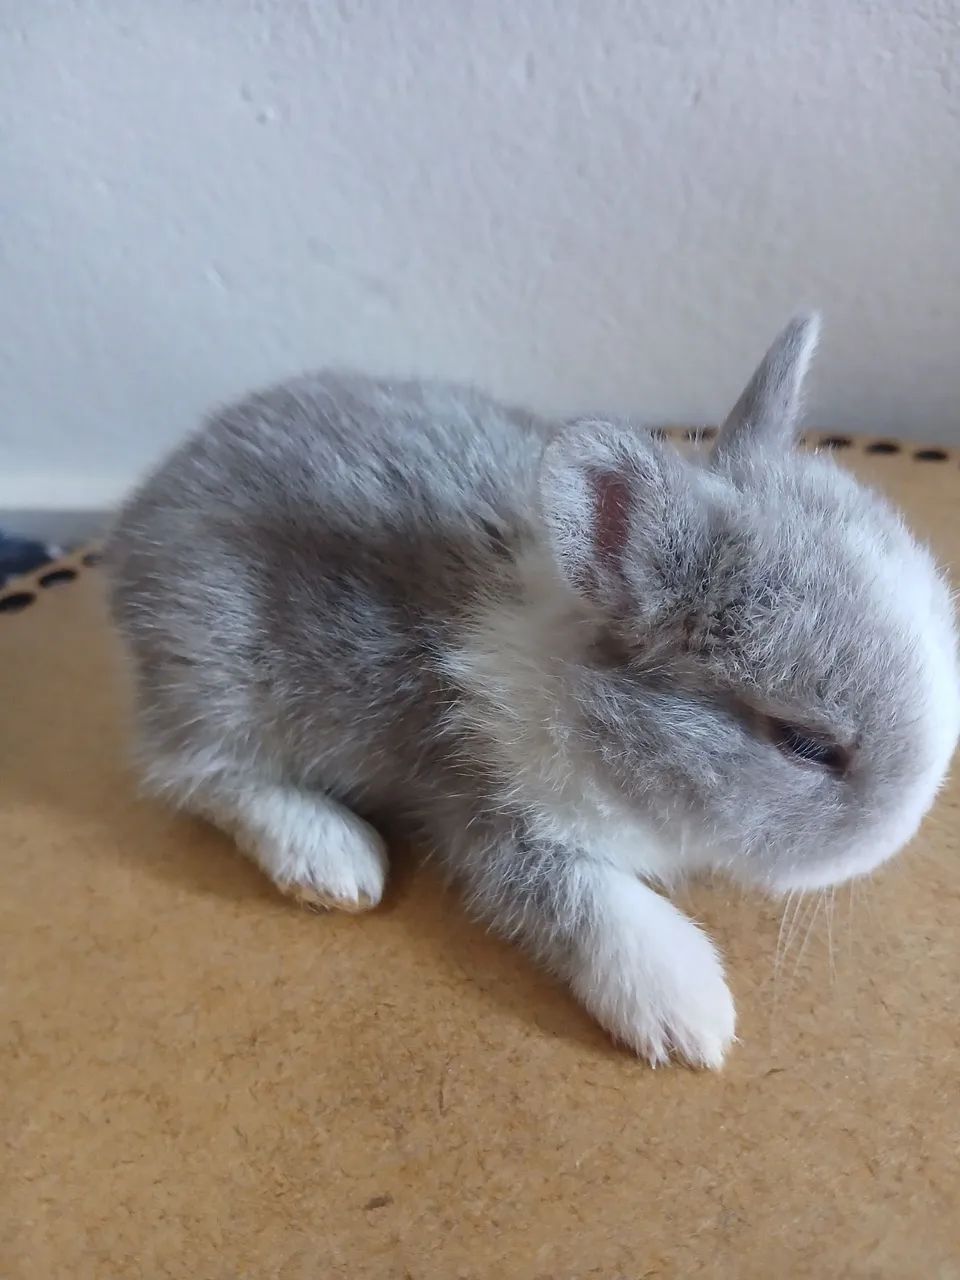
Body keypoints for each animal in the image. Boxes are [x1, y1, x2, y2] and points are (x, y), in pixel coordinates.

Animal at [106, 315, 960, 1068]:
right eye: (806, 742)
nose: (904, 829)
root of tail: (136, 524)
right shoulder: (490, 807)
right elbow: (587, 899)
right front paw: (690, 1013)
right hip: (223, 676)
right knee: (194, 772)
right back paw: (333, 861)